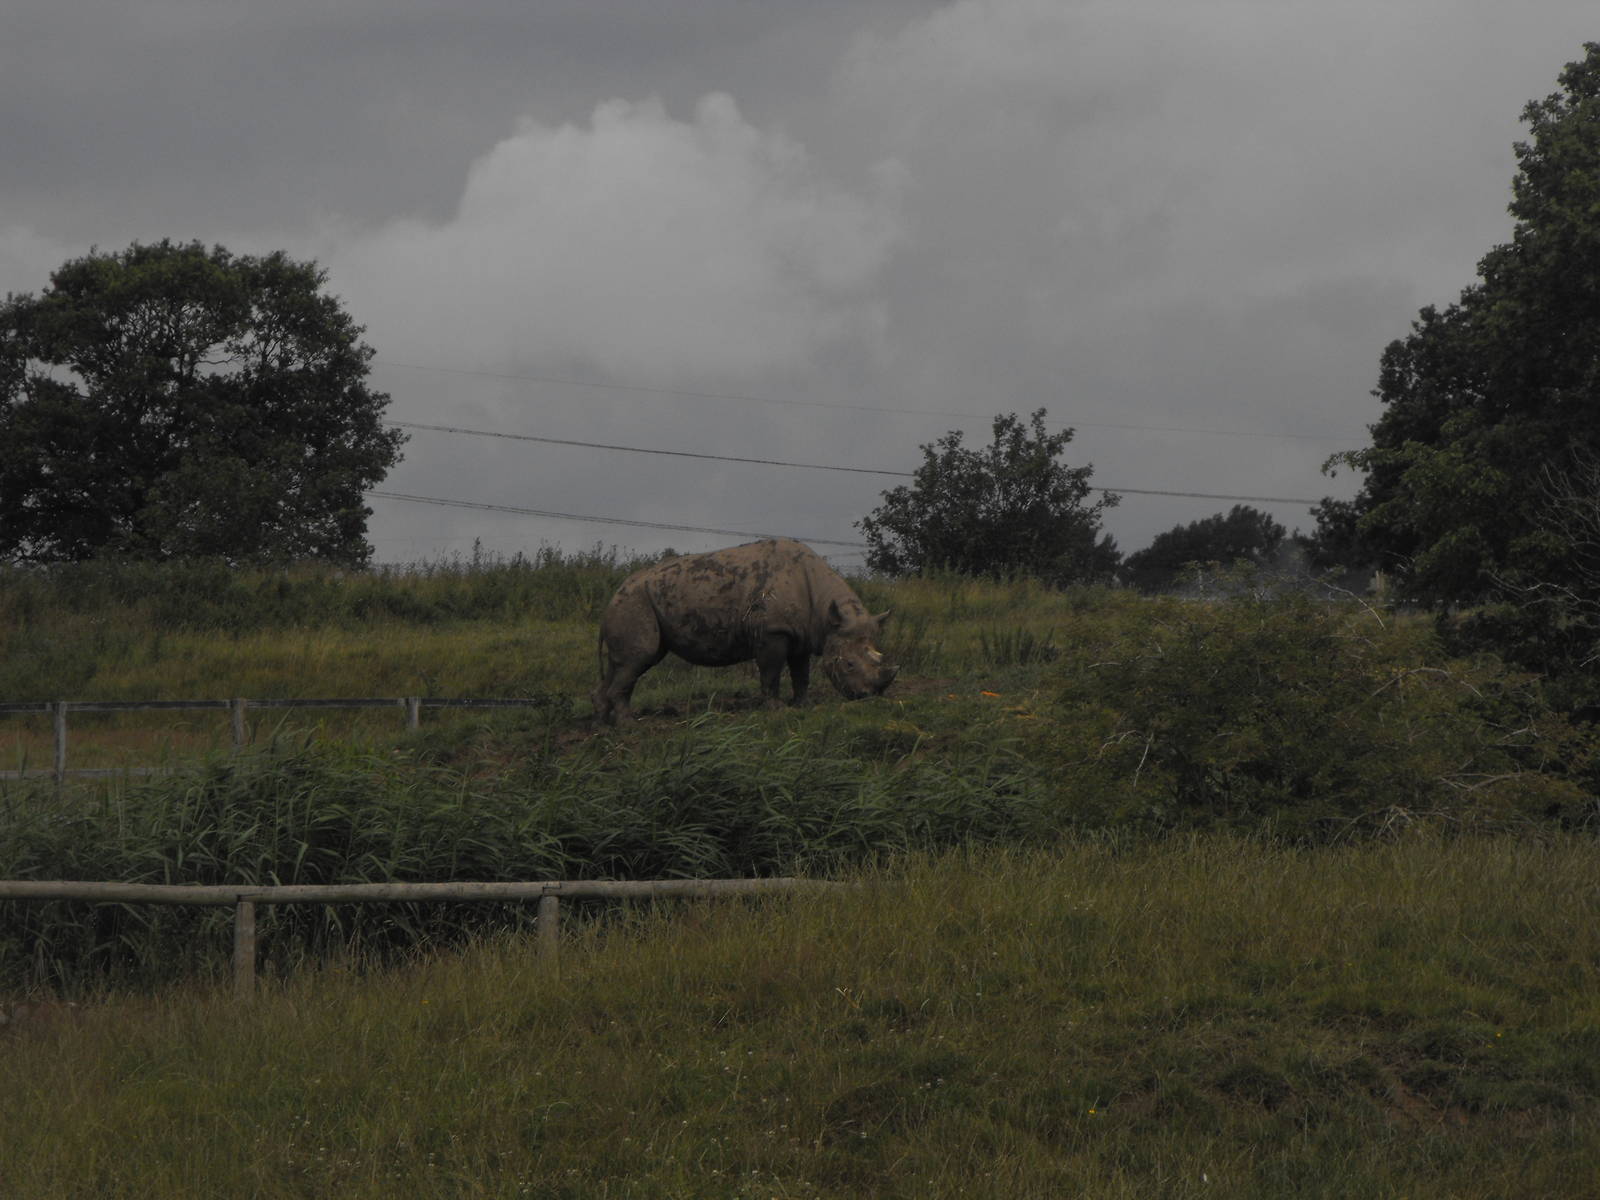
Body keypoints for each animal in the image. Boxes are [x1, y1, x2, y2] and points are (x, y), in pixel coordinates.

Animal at [591, 538, 897, 724]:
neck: (825, 611)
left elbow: (801, 673)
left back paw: (604, 721)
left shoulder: (801, 634)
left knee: (626, 662)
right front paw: (776, 709)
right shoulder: (773, 632)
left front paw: (802, 705)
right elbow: (771, 673)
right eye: (848, 664)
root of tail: (612, 597)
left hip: (635, 602)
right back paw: (629, 724)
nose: (868, 696)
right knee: (638, 658)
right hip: (634, 601)